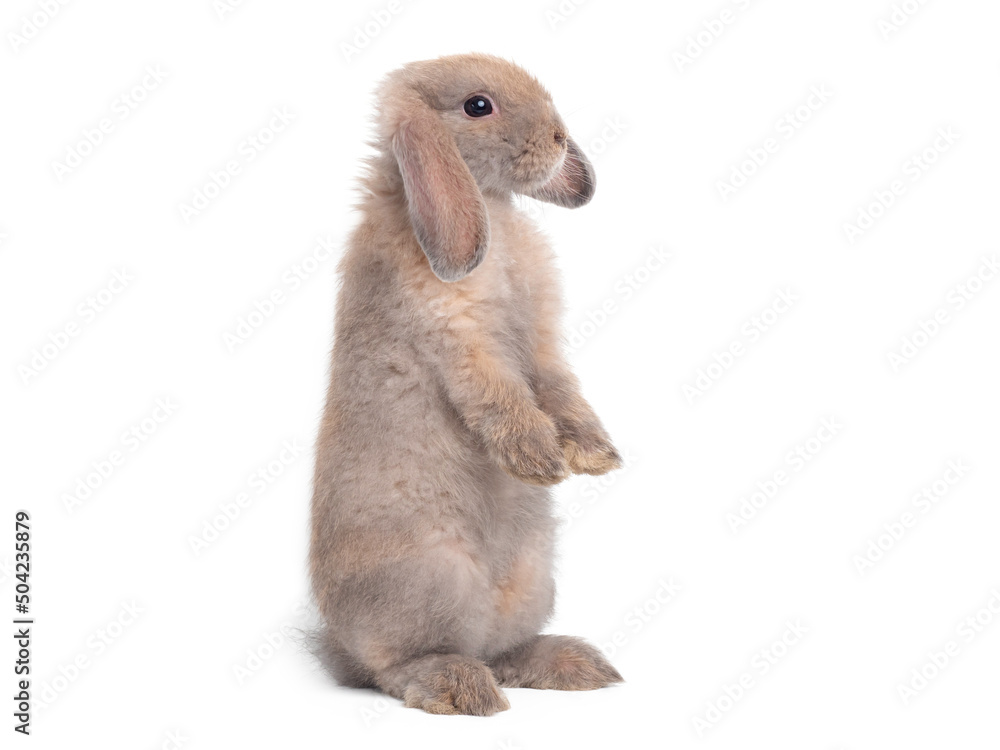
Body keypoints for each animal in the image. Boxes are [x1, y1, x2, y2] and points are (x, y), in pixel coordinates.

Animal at [309, 53, 623, 716]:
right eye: (478, 106)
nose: (559, 139)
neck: (494, 212)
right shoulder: (463, 343)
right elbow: (503, 400)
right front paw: (540, 460)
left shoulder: (543, 343)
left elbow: (561, 390)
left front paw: (594, 455)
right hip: (434, 579)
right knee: (396, 667)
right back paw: (459, 687)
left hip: (531, 577)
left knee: (502, 651)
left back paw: (572, 665)